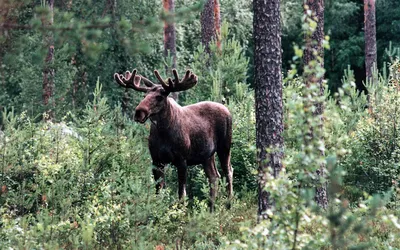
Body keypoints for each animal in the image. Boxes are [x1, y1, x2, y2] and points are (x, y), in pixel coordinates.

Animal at [114, 68, 233, 209]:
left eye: (159, 97)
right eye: (144, 95)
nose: (139, 112)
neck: (163, 133)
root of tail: (227, 110)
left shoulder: (182, 159)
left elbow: (181, 193)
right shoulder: (156, 160)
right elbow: (159, 190)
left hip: (224, 146)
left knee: (228, 171)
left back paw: (229, 204)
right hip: (207, 155)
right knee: (214, 176)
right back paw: (211, 208)